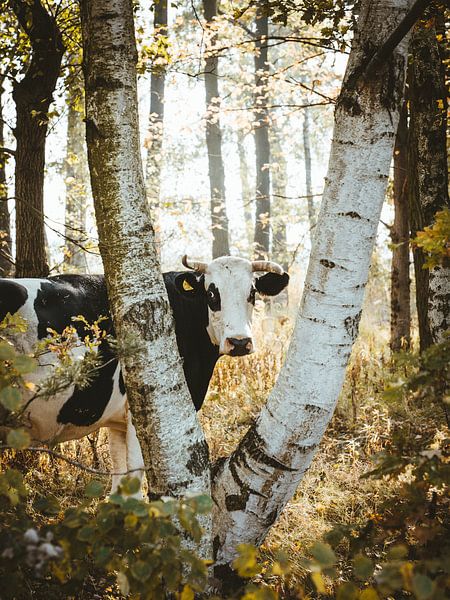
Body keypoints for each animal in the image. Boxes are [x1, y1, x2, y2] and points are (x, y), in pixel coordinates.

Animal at [0, 253, 288, 492]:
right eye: (211, 294)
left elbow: (118, 485)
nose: (239, 342)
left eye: (252, 292)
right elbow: (133, 483)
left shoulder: (116, 422)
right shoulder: (142, 415)